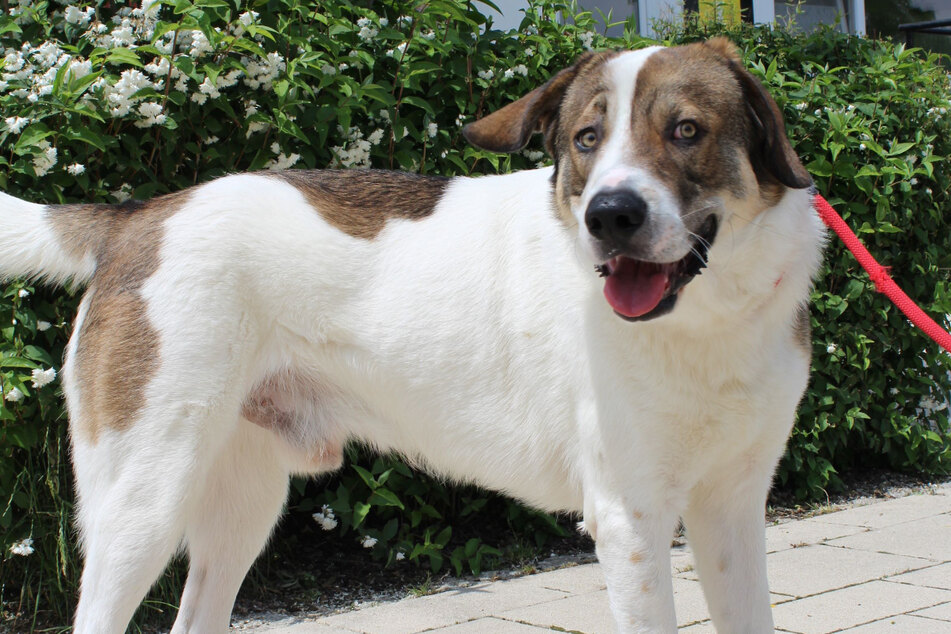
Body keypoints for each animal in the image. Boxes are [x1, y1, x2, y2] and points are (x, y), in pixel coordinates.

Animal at [0, 39, 824, 632]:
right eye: (586, 139)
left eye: (686, 131)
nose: (608, 216)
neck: (705, 320)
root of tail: (136, 215)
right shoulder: (632, 519)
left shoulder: (733, 508)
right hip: (143, 500)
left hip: (241, 502)